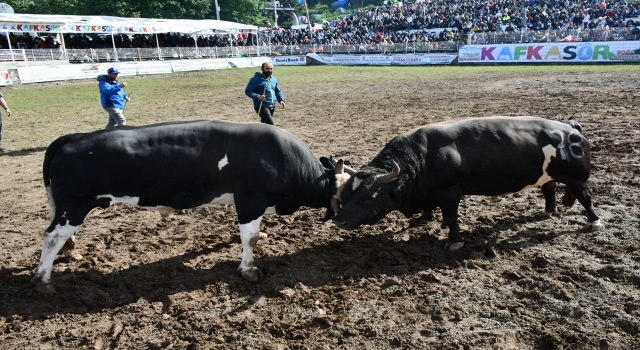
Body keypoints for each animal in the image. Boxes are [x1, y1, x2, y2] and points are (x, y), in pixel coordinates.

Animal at [35, 120, 356, 292]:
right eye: (351, 196)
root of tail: (76, 137)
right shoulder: (250, 199)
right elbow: (249, 237)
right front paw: (248, 269)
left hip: (68, 207)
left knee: (61, 236)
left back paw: (71, 253)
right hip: (74, 205)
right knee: (51, 237)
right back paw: (43, 279)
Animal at [336, 116, 604, 250]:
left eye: (369, 197)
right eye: (345, 195)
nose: (339, 221)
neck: (421, 157)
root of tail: (569, 127)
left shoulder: (449, 192)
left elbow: (452, 217)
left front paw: (455, 240)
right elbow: (430, 209)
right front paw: (426, 218)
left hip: (576, 178)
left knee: (585, 196)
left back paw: (594, 221)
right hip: (546, 174)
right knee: (549, 187)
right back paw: (548, 211)